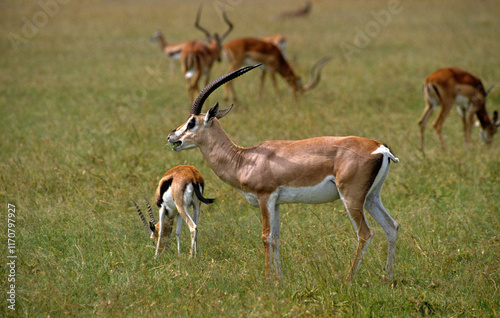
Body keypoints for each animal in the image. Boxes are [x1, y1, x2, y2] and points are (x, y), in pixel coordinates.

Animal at [170, 65, 400, 284]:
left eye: (191, 122)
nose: (172, 137)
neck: (245, 159)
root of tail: (381, 149)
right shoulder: (277, 203)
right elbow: (276, 237)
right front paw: (279, 279)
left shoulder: (265, 197)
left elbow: (265, 236)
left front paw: (267, 280)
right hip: (371, 198)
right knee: (392, 227)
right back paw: (387, 278)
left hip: (351, 198)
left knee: (365, 233)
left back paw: (348, 279)